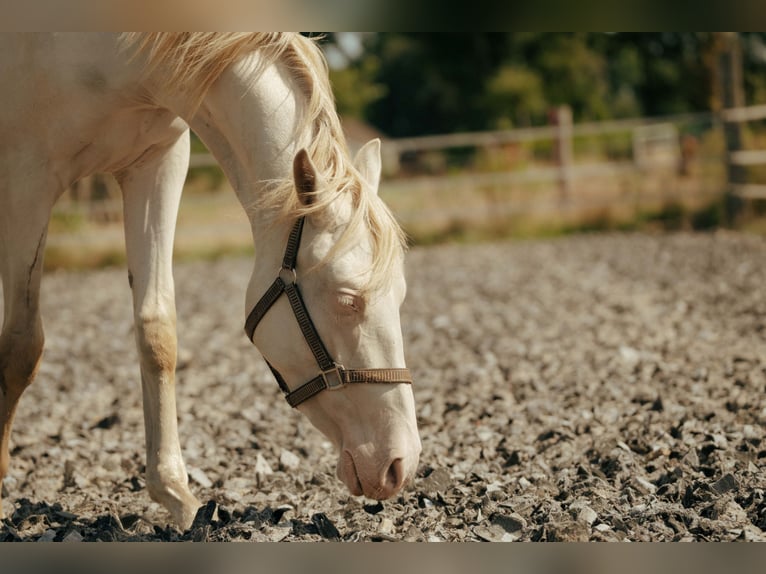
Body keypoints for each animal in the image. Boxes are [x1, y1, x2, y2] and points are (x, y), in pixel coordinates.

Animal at [0, 33, 420, 532]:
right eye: (347, 299)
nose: (400, 465)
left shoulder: (156, 164)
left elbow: (157, 332)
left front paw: (176, 495)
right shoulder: (26, 180)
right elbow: (22, 346)